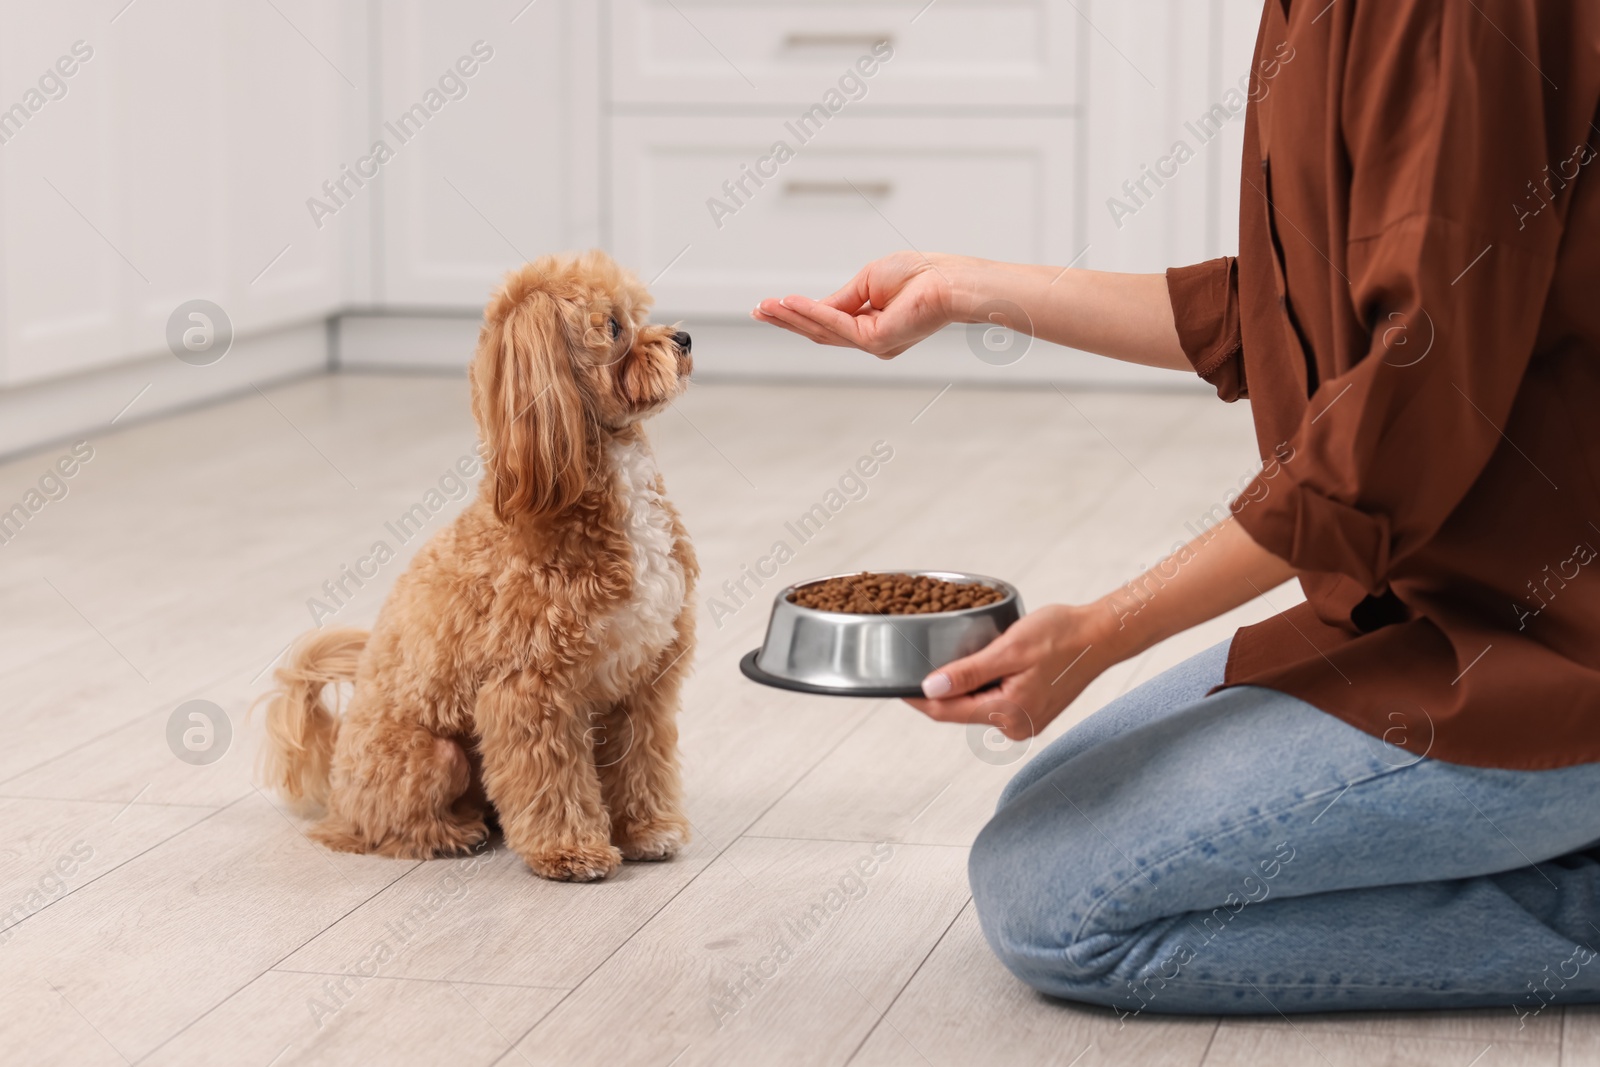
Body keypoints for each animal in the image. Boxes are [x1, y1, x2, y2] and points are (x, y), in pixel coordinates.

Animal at [256, 252, 694, 883]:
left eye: (640, 314)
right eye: (612, 327)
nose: (684, 338)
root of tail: (336, 782)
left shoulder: (644, 679)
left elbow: (642, 762)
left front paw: (647, 831)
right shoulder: (531, 691)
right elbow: (552, 781)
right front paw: (571, 853)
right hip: (433, 755)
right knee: (379, 831)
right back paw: (452, 833)